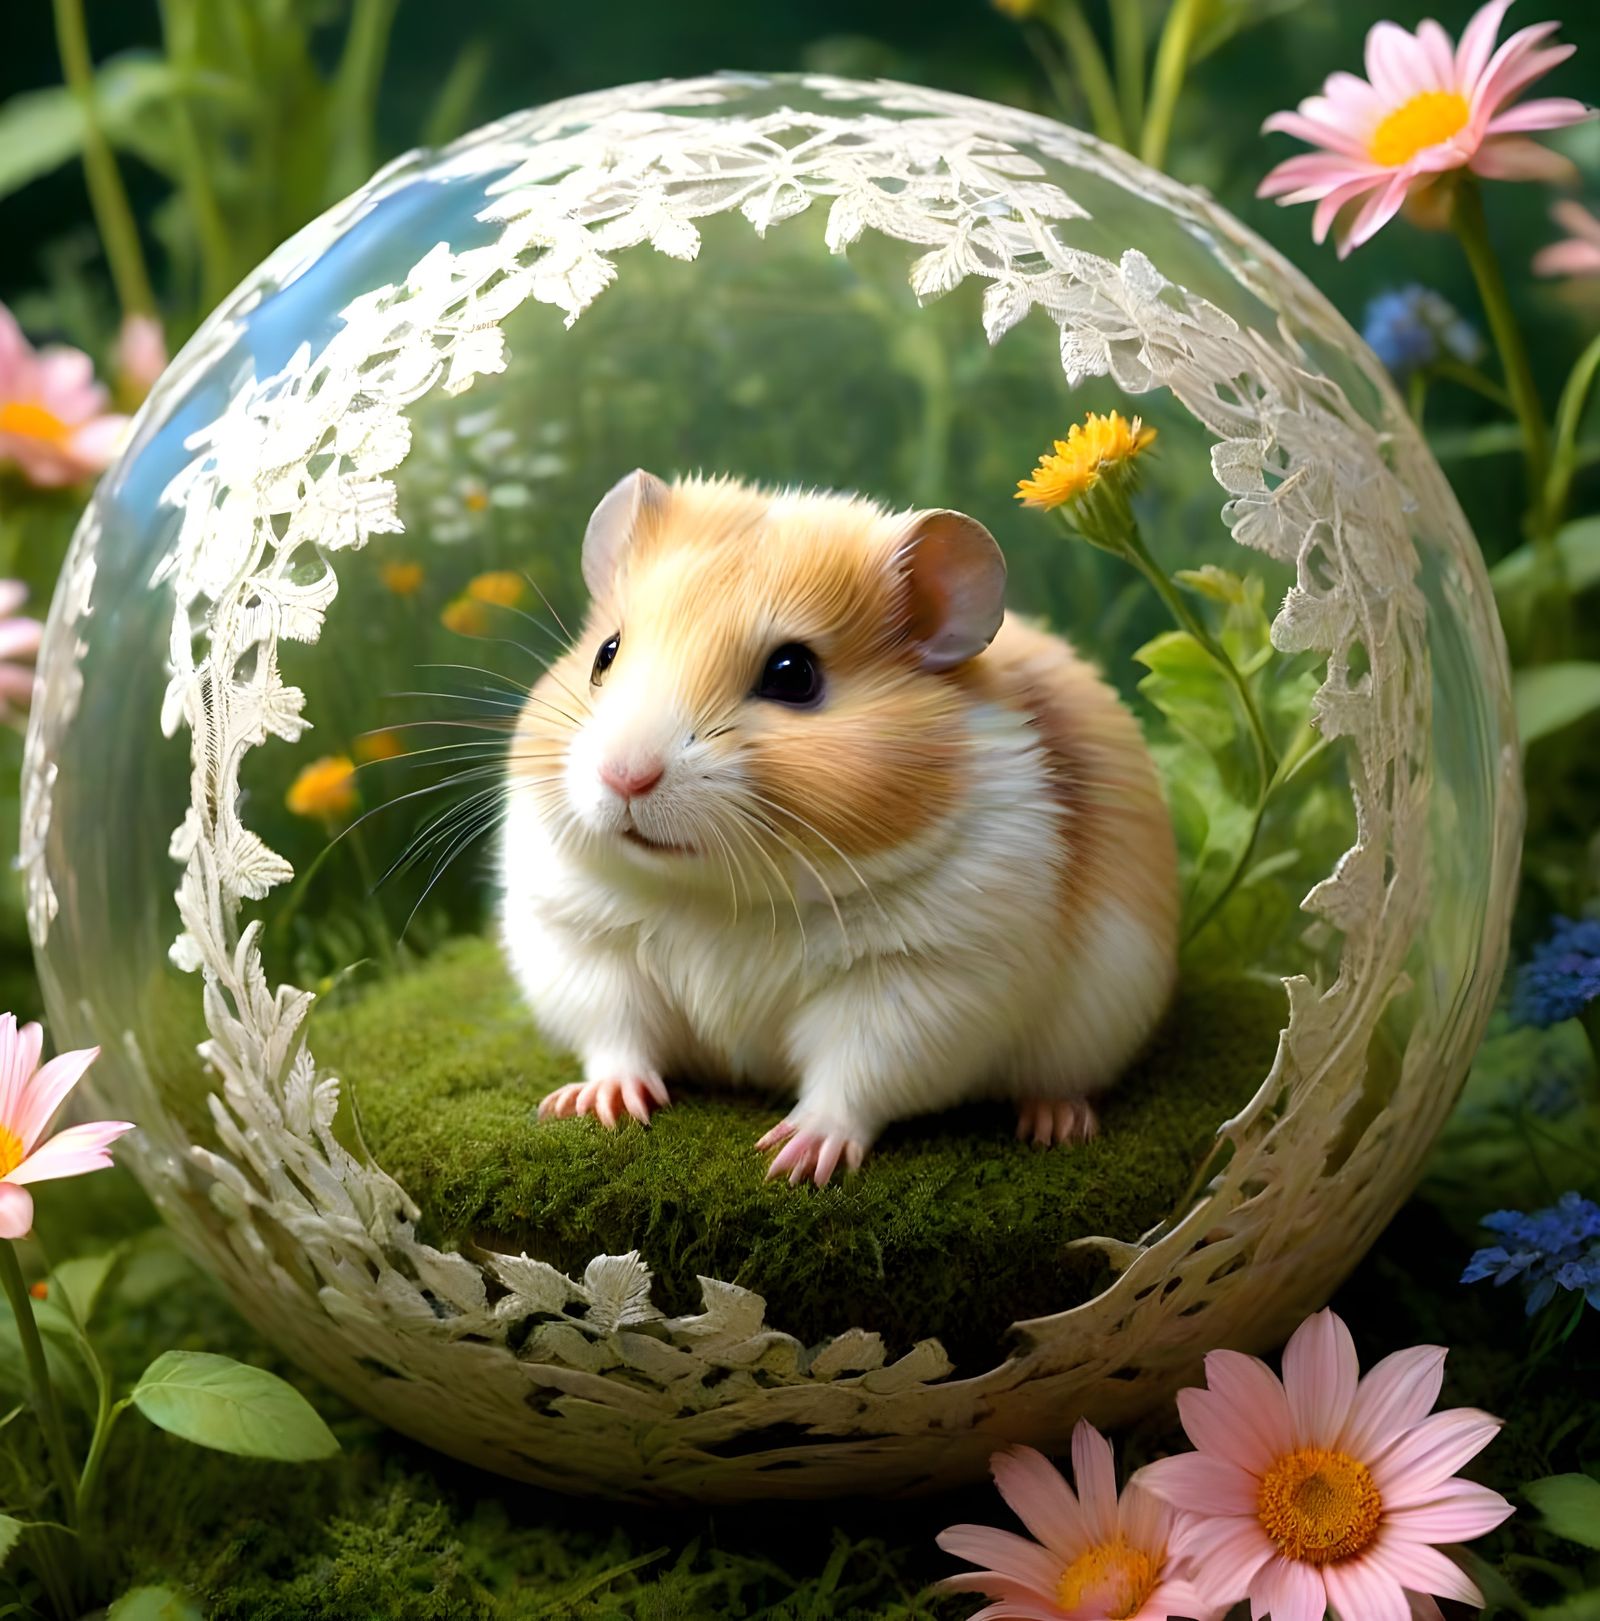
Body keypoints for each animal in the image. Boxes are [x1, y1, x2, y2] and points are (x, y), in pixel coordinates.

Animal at [500, 469, 1179, 1186]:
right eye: (605, 654)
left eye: (794, 675)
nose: (625, 777)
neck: (723, 894)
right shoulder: (582, 944)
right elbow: (615, 1037)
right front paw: (595, 1107)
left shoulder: (923, 985)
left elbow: (853, 1079)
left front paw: (793, 1161)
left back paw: (1057, 1126)